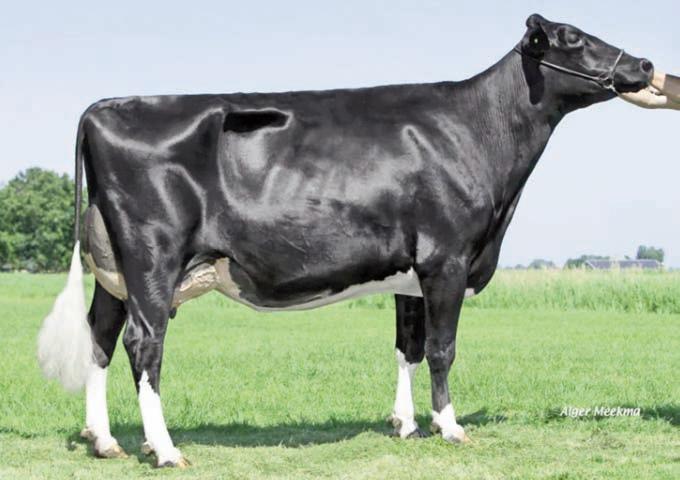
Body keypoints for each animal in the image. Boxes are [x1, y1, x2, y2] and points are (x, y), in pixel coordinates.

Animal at [37, 14, 653, 467]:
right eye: (573, 38)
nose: (645, 63)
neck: (476, 129)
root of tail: (105, 107)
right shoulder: (448, 257)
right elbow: (442, 347)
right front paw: (450, 427)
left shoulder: (412, 269)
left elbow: (408, 345)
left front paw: (405, 425)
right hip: (152, 255)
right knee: (144, 343)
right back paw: (165, 450)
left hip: (116, 268)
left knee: (100, 336)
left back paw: (104, 441)